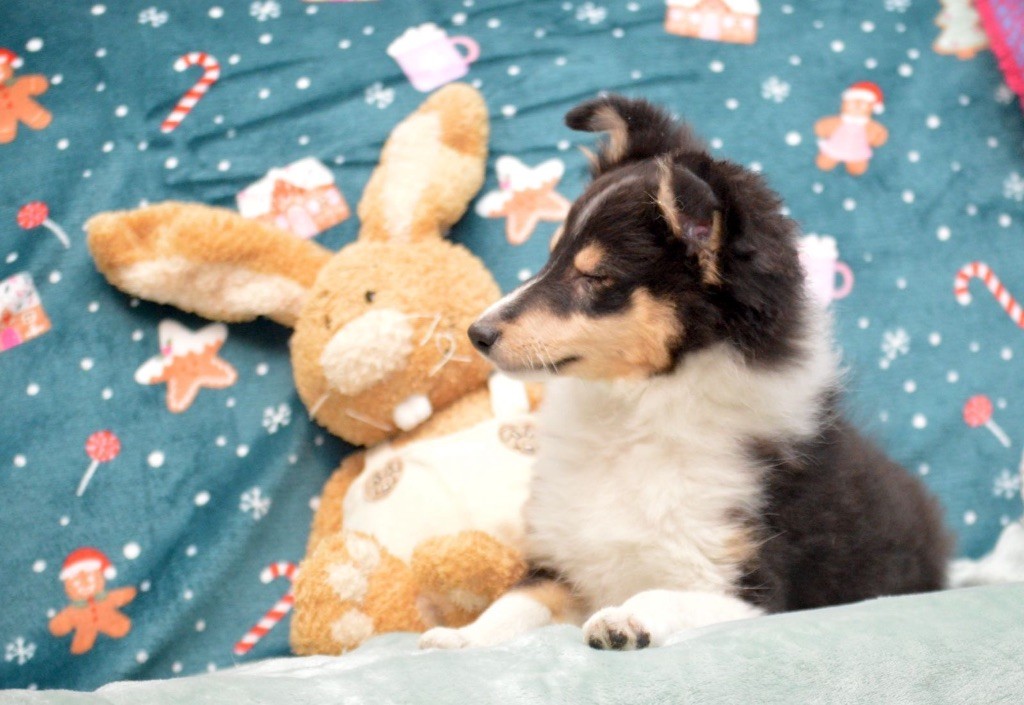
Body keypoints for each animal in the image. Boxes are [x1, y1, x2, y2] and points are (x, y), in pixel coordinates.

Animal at [417, 96, 950, 651]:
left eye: (596, 276)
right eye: (551, 258)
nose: (477, 333)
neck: (631, 418)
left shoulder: (748, 587)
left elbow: (663, 595)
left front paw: (623, 618)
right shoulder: (567, 562)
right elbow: (517, 600)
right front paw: (461, 637)